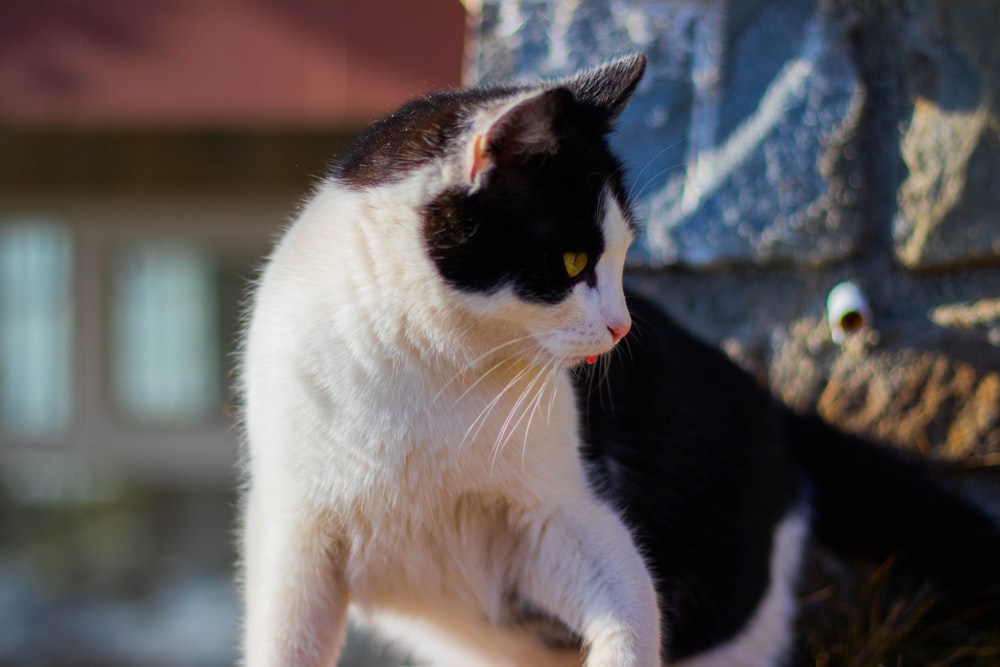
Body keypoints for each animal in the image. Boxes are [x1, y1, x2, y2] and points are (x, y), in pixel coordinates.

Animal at [242, 53, 1000, 667]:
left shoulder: (560, 515)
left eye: (622, 255)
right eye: (575, 262)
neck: (421, 367)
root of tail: (777, 408)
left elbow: (630, 600)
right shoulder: (296, 541)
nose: (622, 323)